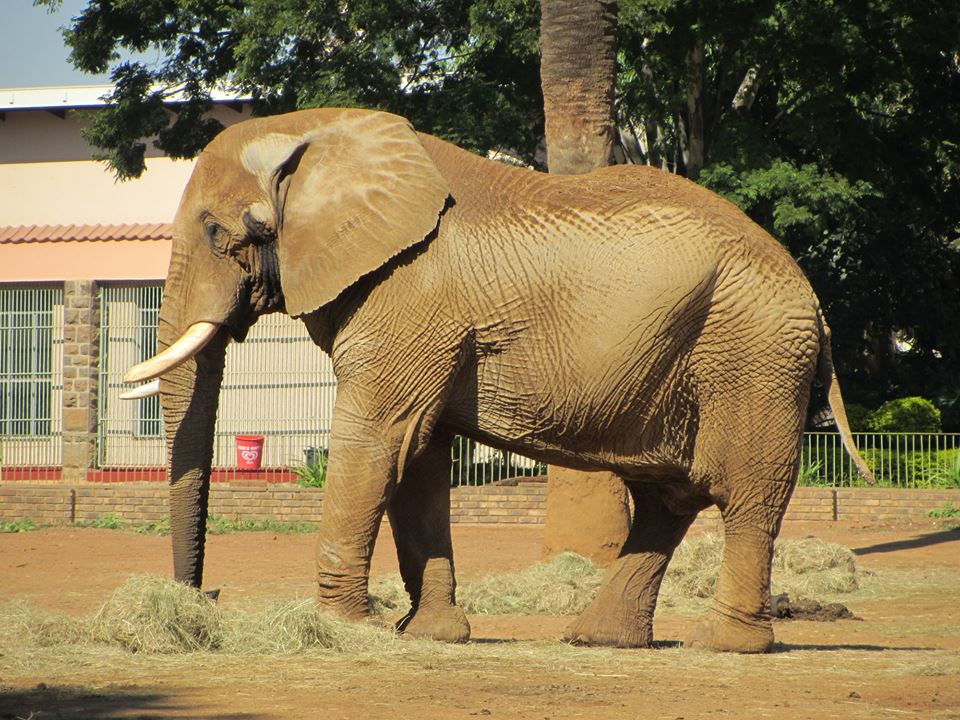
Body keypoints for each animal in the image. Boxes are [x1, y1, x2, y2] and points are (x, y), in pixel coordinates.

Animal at [123, 107, 872, 653]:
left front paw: (341, 630)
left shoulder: (411, 294)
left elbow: (377, 440)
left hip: (752, 355)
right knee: (668, 497)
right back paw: (599, 640)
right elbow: (418, 456)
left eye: (218, 232)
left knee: (742, 497)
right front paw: (429, 636)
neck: (318, 131)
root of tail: (815, 303)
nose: (203, 599)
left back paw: (725, 645)